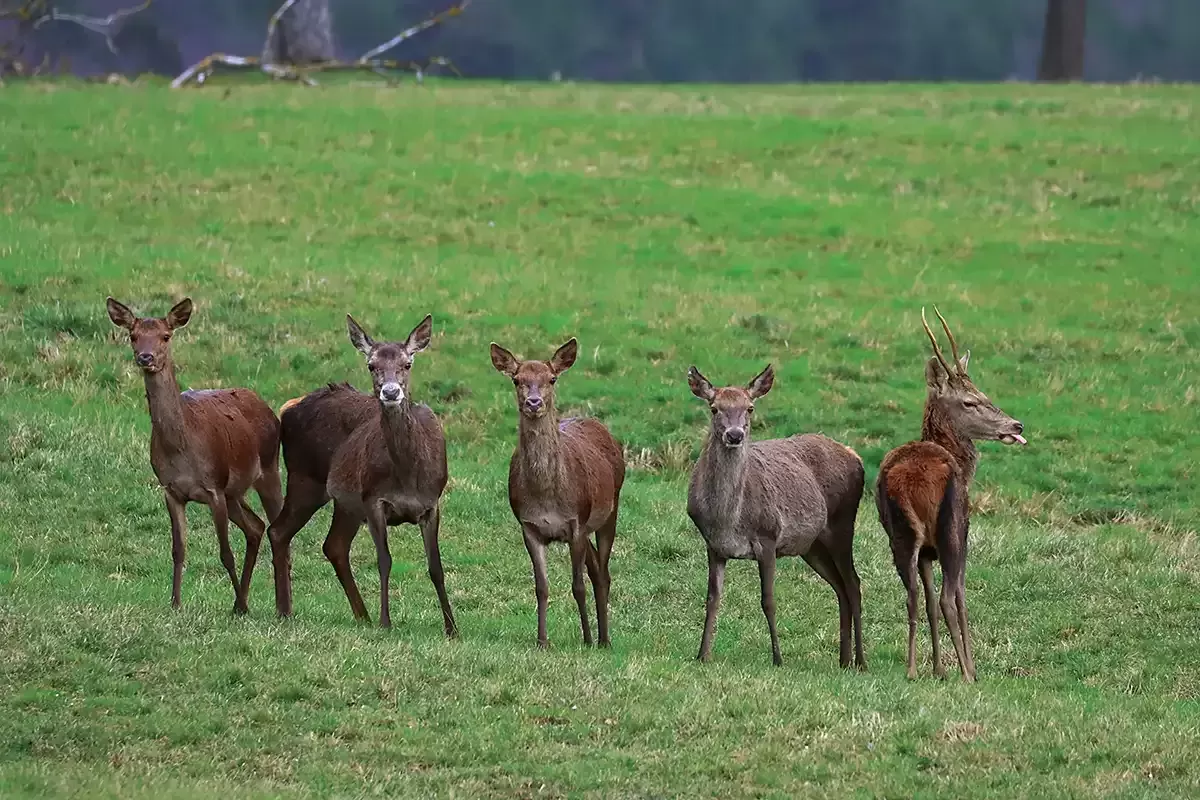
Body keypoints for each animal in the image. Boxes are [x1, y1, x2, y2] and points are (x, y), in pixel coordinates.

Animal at [105, 297, 283, 618]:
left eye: (166, 336)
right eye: (133, 336)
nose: (146, 357)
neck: (181, 448)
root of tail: (266, 407)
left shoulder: (214, 487)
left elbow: (225, 553)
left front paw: (241, 603)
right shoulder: (171, 490)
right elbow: (178, 549)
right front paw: (176, 603)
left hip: (268, 468)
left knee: (279, 530)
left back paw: (278, 606)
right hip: (235, 492)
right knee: (256, 527)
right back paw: (242, 602)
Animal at [265, 311, 456, 638]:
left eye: (407, 363)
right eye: (371, 365)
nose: (390, 391)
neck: (408, 477)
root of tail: (288, 406)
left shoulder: (432, 502)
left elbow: (436, 567)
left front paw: (452, 628)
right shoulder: (373, 499)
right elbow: (384, 560)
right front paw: (386, 622)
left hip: (343, 501)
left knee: (334, 545)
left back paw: (360, 615)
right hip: (306, 478)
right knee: (279, 531)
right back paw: (285, 610)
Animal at [487, 340, 624, 652]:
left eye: (552, 379)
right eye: (517, 380)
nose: (534, 402)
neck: (547, 497)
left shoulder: (577, 522)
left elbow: (577, 586)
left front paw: (586, 638)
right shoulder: (529, 527)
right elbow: (541, 587)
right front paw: (542, 640)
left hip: (610, 510)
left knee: (604, 573)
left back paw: (604, 639)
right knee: (596, 567)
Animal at [691, 362, 868, 671]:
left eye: (750, 408)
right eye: (714, 408)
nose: (734, 435)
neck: (727, 519)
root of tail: (855, 456)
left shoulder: (768, 536)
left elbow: (768, 600)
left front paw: (778, 658)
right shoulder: (714, 545)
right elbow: (712, 598)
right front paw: (702, 654)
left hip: (843, 524)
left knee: (854, 584)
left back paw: (860, 661)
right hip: (812, 546)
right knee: (840, 588)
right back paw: (844, 660)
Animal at [878, 307, 1027, 681]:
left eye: (983, 392)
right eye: (970, 401)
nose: (1016, 425)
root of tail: (906, 482)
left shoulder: (926, 552)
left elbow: (928, 599)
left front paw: (937, 668)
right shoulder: (963, 530)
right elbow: (959, 597)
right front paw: (966, 666)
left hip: (901, 534)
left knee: (913, 596)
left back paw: (912, 669)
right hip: (951, 526)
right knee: (950, 596)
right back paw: (967, 673)